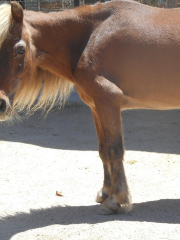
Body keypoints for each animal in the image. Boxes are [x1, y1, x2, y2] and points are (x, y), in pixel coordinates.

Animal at [0, 0, 180, 214]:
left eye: (20, 49)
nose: (0, 103)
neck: (92, 34)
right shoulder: (96, 107)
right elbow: (103, 150)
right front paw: (105, 193)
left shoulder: (109, 101)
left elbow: (114, 149)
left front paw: (117, 200)